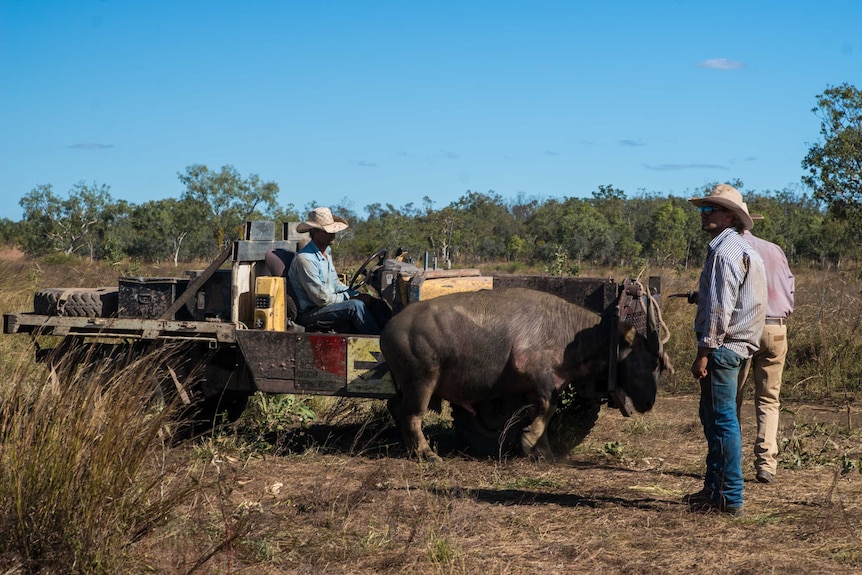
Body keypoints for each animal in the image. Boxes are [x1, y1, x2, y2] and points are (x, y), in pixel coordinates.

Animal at [380, 288, 668, 464]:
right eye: (647, 361)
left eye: (660, 365)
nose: (649, 402)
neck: (567, 331)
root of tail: (389, 328)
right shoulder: (537, 375)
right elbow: (549, 407)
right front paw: (530, 442)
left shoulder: (534, 388)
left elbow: (541, 414)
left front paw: (544, 450)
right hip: (422, 380)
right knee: (412, 416)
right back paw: (426, 452)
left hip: (406, 386)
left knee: (396, 408)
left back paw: (410, 449)